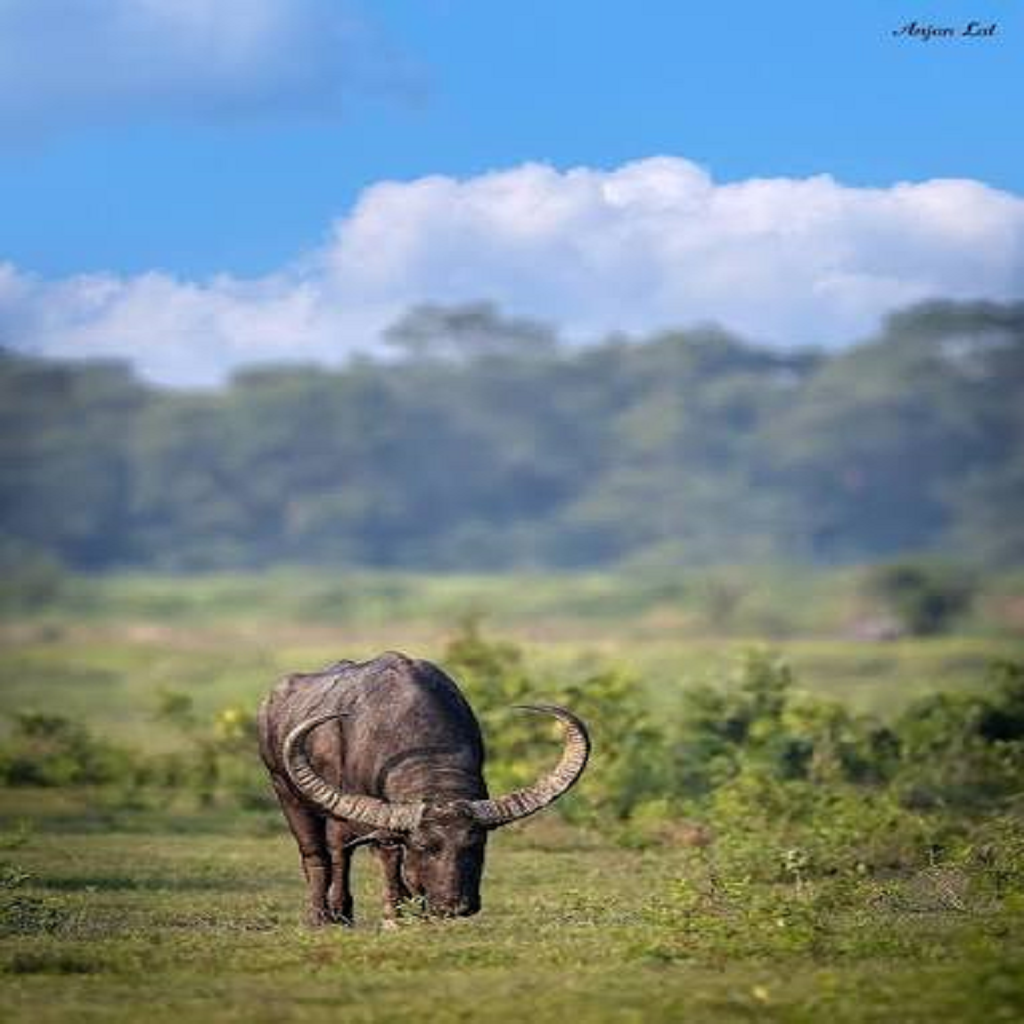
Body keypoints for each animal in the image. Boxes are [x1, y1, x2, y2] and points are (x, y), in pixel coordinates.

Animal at [258, 651, 590, 925]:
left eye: (475, 845)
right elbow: (387, 859)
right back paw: (322, 917)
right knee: (319, 854)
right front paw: (394, 917)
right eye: (422, 847)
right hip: (287, 792)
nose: (453, 907)